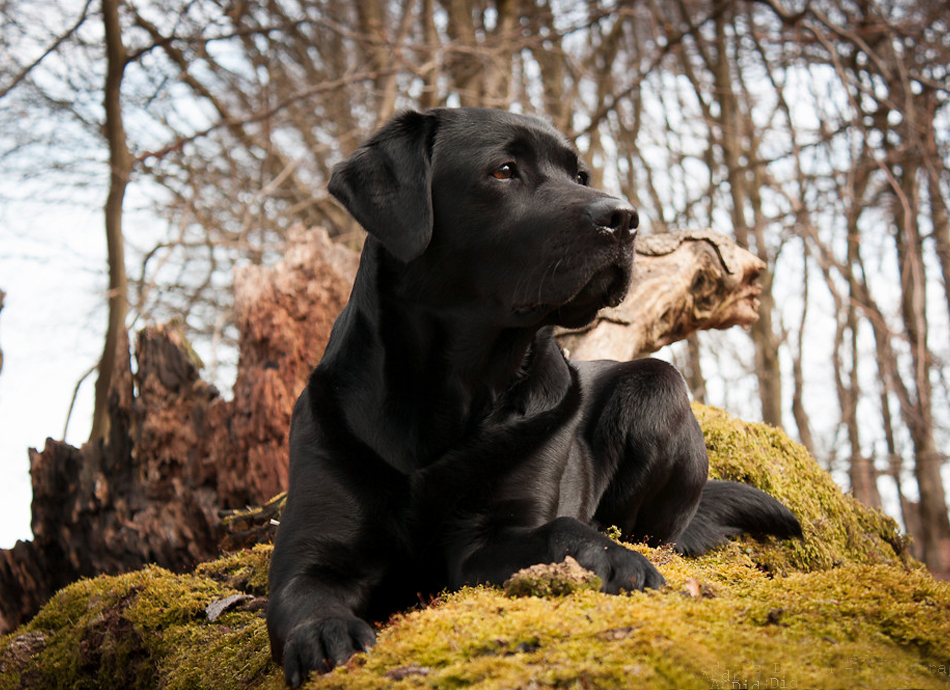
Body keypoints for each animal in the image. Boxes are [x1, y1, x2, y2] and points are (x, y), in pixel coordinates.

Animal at [266, 107, 804, 684]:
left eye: (580, 175)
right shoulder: (314, 551)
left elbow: (560, 528)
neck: (455, 391)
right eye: (504, 170)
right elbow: (303, 595)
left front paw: (612, 557)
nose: (624, 219)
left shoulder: (493, 534)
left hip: (656, 387)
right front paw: (325, 633)